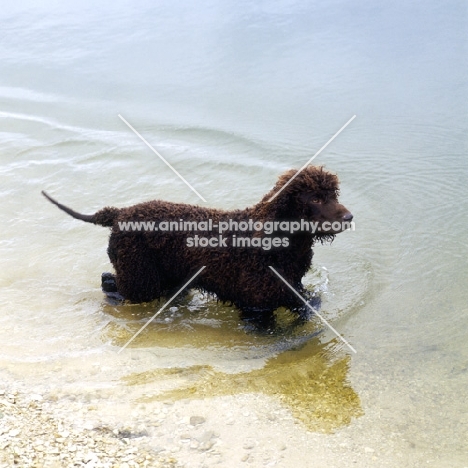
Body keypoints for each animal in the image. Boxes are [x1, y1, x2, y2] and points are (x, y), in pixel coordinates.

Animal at [43, 166, 352, 328]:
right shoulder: (257, 305)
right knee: (111, 283)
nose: (349, 217)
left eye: (333, 195)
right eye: (315, 198)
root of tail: (120, 213)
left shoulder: (291, 289)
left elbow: (309, 304)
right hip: (140, 276)